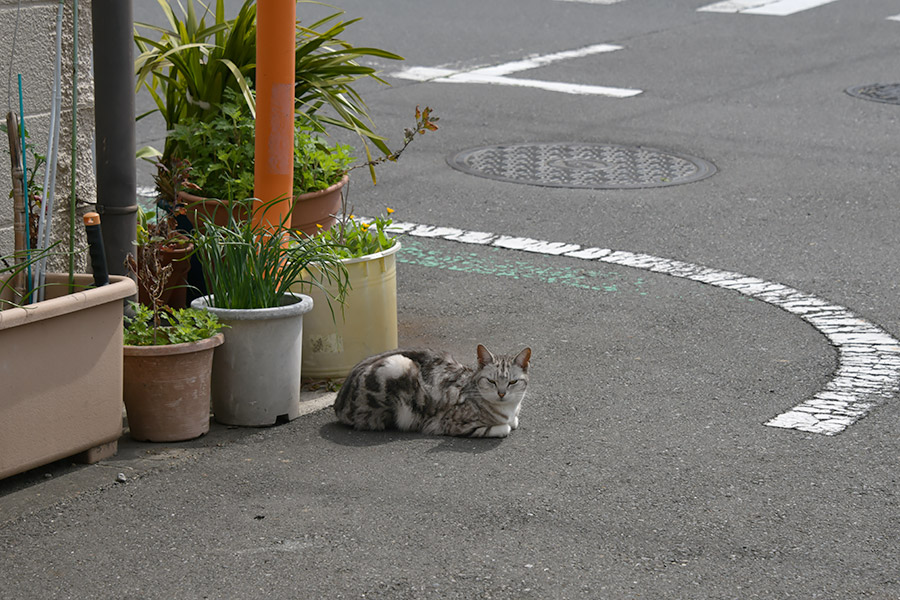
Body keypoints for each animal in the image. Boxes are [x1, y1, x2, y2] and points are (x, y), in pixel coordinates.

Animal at [336, 344, 536, 438]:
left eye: (512, 382)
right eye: (491, 381)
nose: (501, 393)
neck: (509, 409)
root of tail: (338, 404)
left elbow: (514, 421)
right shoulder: (452, 424)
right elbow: (505, 427)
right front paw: (504, 425)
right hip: (397, 365)